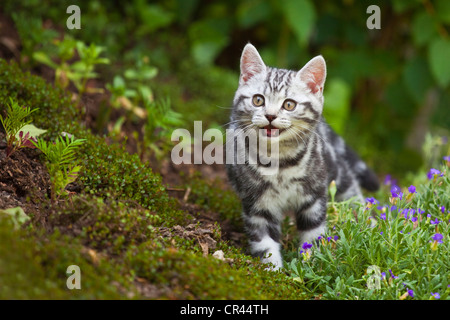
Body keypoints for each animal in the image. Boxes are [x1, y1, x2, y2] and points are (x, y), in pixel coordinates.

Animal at [225, 43, 380, 270]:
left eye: (289, 104)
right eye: (258, 100)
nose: (270, 115)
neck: (280, 163)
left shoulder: (314, 198)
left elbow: (313, 234)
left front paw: (312, 265)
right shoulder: (257, 205)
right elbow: (265, 243)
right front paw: (274, 272)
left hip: (336, 172)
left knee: (354, 196)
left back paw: (371, 226)